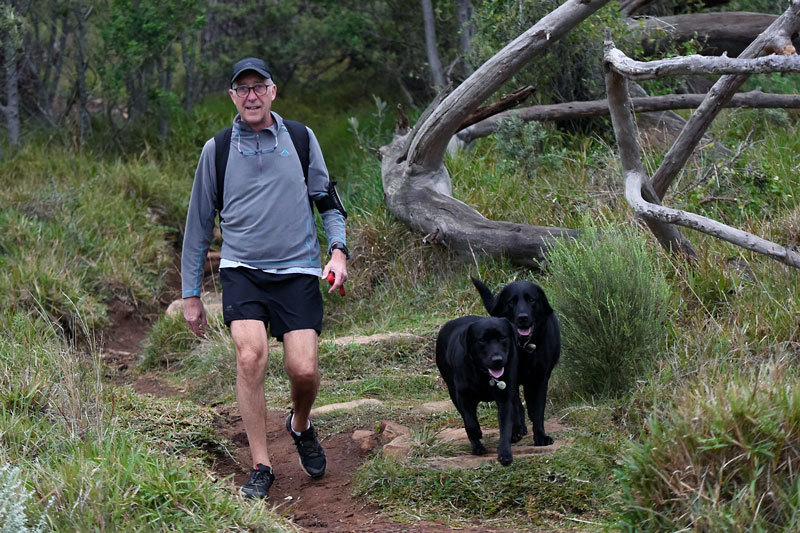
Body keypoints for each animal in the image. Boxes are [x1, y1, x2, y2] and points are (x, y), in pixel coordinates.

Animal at [438, 316, 520, 462]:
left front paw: (505, 454)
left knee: (515, 403)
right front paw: (476, 434)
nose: (497, 359)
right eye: (482, 340)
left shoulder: (505, 397)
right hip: (452, 390)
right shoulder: (463, 397)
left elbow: (505, 426)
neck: (484, 375)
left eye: (502, 337)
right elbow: (470, 423)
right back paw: (477, 447)